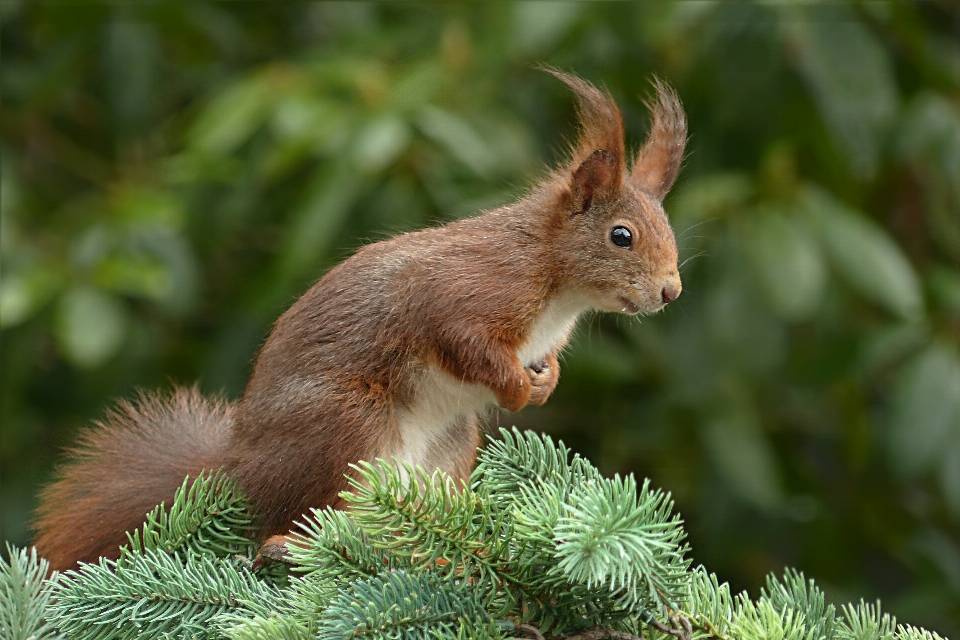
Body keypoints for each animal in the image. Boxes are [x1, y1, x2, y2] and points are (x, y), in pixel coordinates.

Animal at [33, 70, 688, 568]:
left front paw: (545, 383)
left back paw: (443, 542)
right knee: (309, 517)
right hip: (348, 424)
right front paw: (514, 390)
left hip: (448, 446)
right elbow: (467, 346)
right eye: (622, 236)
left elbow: (540, 363)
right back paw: (296, 544)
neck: (556, 283)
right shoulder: (466, 296)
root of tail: (241, 469)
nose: (671, 291)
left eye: (668, 229)